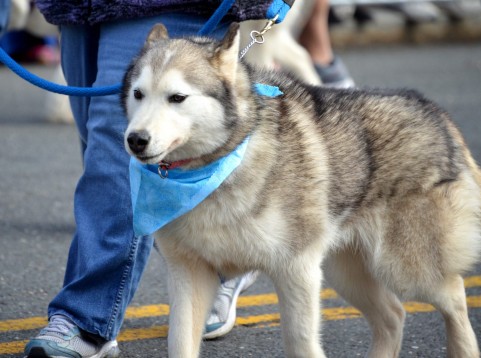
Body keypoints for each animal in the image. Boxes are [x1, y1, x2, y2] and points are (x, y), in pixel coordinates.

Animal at [123, 23, 480, 356]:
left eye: (177, 98)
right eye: (138, 94)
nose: (136, 139)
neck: (220, 166)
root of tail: (439, 113)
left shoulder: (296, 268)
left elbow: (300, 342)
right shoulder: (189, 272)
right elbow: (179, 342)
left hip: (407, 269)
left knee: (455, 296)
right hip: (346, 272)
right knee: (394, 315)